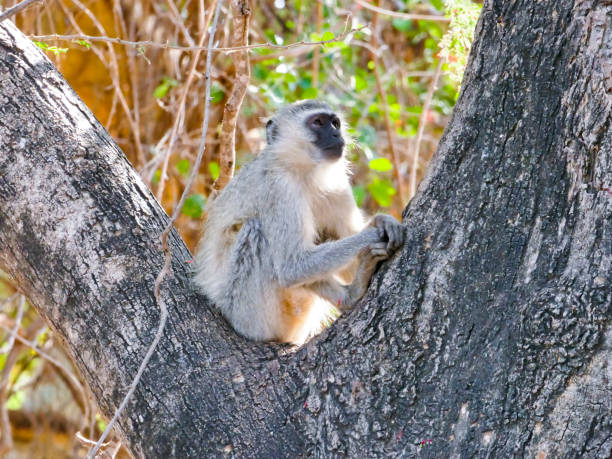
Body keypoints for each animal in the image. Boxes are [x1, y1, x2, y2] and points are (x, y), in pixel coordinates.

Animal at [195, 100, 406, 344]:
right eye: (318, 122)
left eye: (335, 123)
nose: (337, 134)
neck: (305, 173)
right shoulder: (280, 188)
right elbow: (292, 267)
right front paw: (371, 233)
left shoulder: (338, 186)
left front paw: (381, 221)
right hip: (241, 309)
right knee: (256, 231)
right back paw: (349, 296)